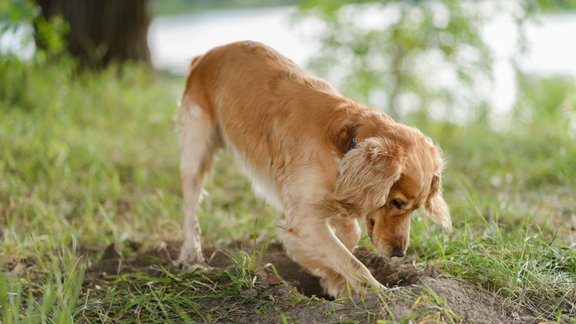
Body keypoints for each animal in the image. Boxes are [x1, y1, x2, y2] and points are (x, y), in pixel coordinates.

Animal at [178, 41, 452, 298]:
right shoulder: (305, 218)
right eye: (397, 203)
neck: (345, 146)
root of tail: (207, 54)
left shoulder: (337, 197)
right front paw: (377, 292)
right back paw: (192, 258)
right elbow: (352, 262)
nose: (399, 253)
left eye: (416, 209)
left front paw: (333, 279)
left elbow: (348, 238)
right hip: (195, 153)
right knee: (191, 211)